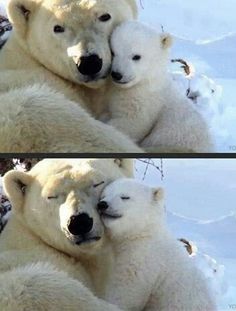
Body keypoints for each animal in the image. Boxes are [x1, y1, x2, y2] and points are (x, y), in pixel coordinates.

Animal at [97, 179, 216, 310]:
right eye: (104, 195)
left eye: (125, 197)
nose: (102, 204)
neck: (143, 233)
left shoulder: (143, 260)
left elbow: (125, 290)